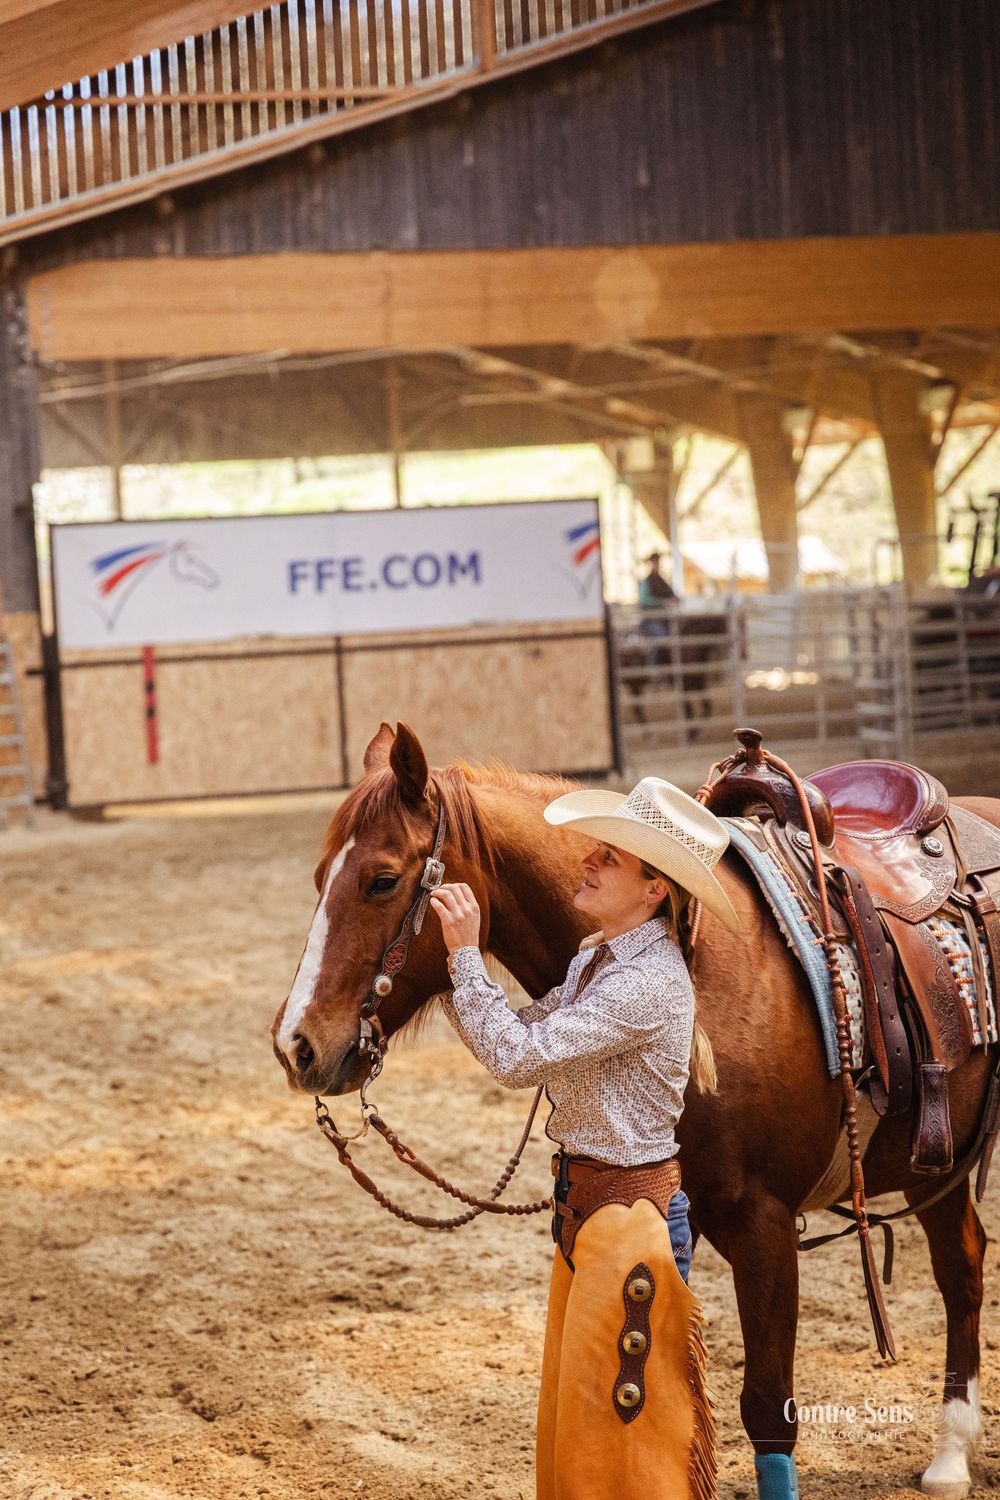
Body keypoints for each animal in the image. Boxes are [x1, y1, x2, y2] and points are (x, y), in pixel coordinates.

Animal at [271, 721, 999, 1500]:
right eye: (319, 880)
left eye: (381, 880)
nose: (297, 1045)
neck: (709, 967)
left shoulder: (765, 1225)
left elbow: (768, 1409)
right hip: (934, 1165)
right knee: (962, 1262)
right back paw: (950, 1455)